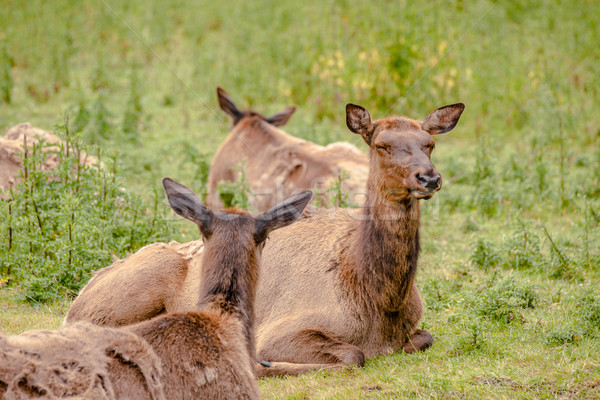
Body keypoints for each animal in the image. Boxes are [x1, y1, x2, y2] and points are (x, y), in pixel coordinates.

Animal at [65, 101, 466, 378]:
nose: (429, 177)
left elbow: (425, 338)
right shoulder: (280, 330)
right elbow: (355, 355)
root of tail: (82, 291)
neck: (379, 301)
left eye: (428, 143)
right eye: (381, 144)